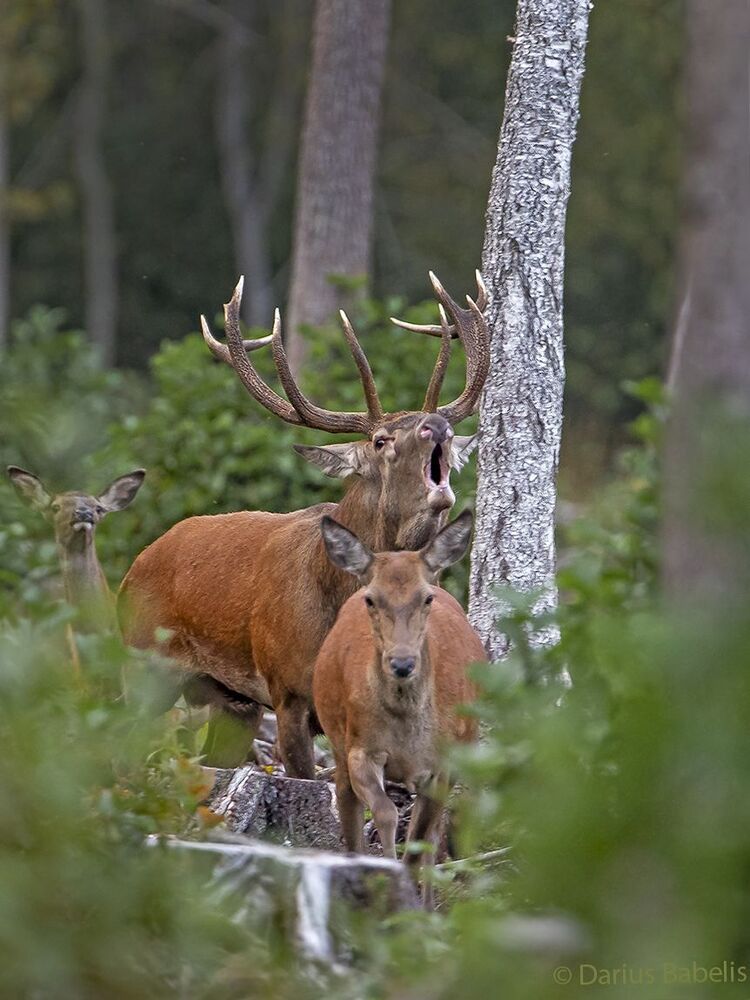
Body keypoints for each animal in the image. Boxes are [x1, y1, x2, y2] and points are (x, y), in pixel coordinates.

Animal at [118, 272, 489, 776]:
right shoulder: (288, 690)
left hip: (232, 701)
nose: (436, 424)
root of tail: (130, 571)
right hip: (143, 665)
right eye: (380, 440)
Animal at [314, 509, 484, 906]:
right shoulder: (361, 747)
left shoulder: (442, 763)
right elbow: (386, 813)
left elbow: (420, 839)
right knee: (348, 809)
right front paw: (387, 889)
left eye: (426, 598)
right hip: (337, 741)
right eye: (372, 599)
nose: (402, 663)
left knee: (435, 834)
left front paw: (410, 906)